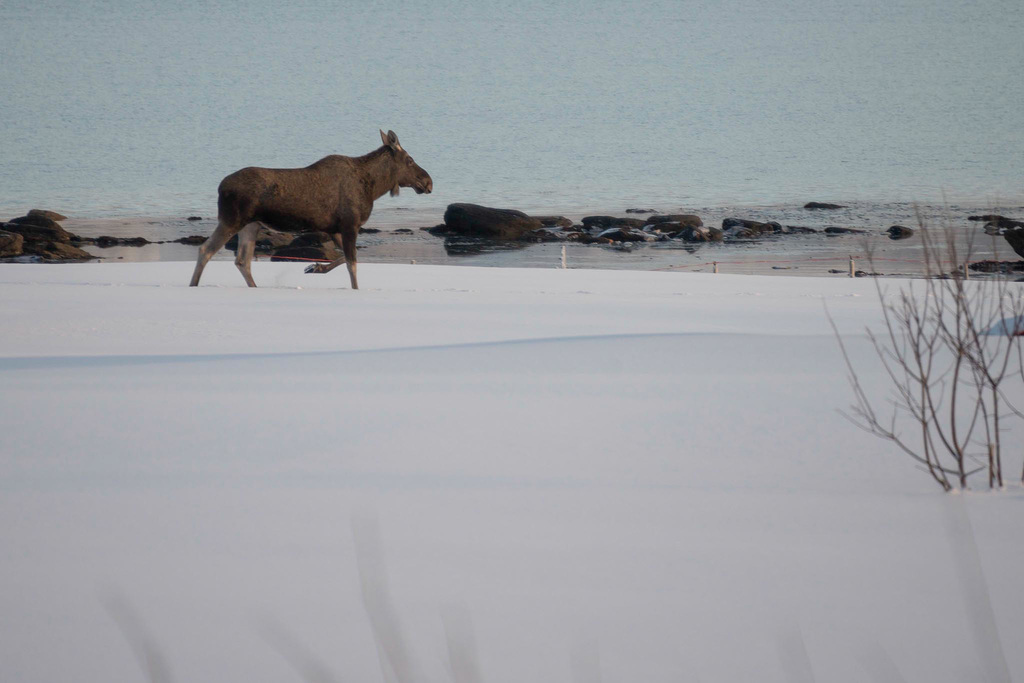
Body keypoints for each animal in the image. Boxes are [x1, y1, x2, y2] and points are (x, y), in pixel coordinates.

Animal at [189, 130, 432, 288]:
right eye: (410, 160)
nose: (428, 181)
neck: (374, 187)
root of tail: (220, 187)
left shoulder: (334, 228)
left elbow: (346, 259)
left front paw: (315, 268)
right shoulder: (350, 224)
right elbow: (352, 264)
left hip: (251, 225)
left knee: (242, 261)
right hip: (232, 220)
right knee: (206, 250)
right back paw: (193, 285)